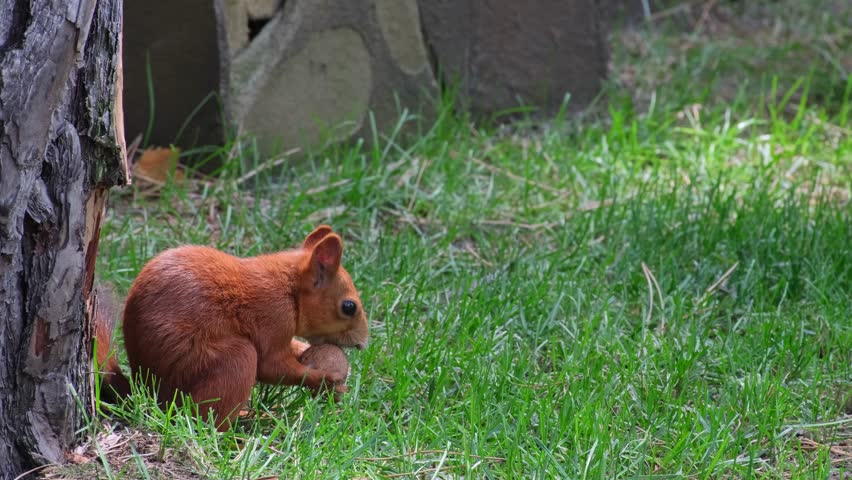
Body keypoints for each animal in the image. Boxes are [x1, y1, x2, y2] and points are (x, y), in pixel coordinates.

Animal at [94, 225, 368, 431]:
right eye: (349, 307)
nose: (364, 342)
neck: (289, 288)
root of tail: (151, 393)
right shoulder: (273, 317)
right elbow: (271, 366)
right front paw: (326, 380)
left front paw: (305, 351)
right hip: (222, 361)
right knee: (201, 419)